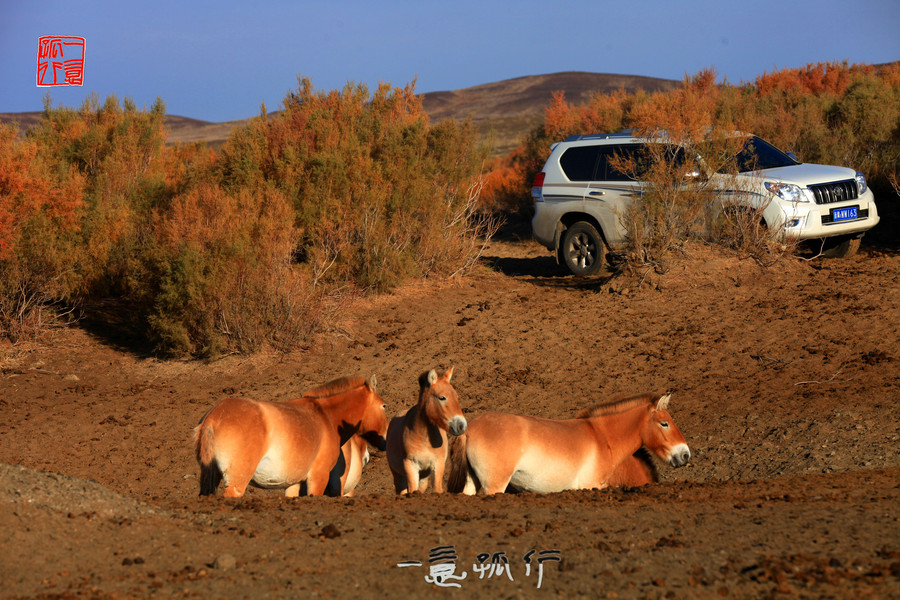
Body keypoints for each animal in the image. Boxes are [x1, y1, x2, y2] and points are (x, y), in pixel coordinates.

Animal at [194, 376, 386, 496]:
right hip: (237, 482)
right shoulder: (318, 478)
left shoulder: (294, 484)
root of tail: (213, 417)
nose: (384, 443)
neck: (326, 416)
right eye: (384, 406)